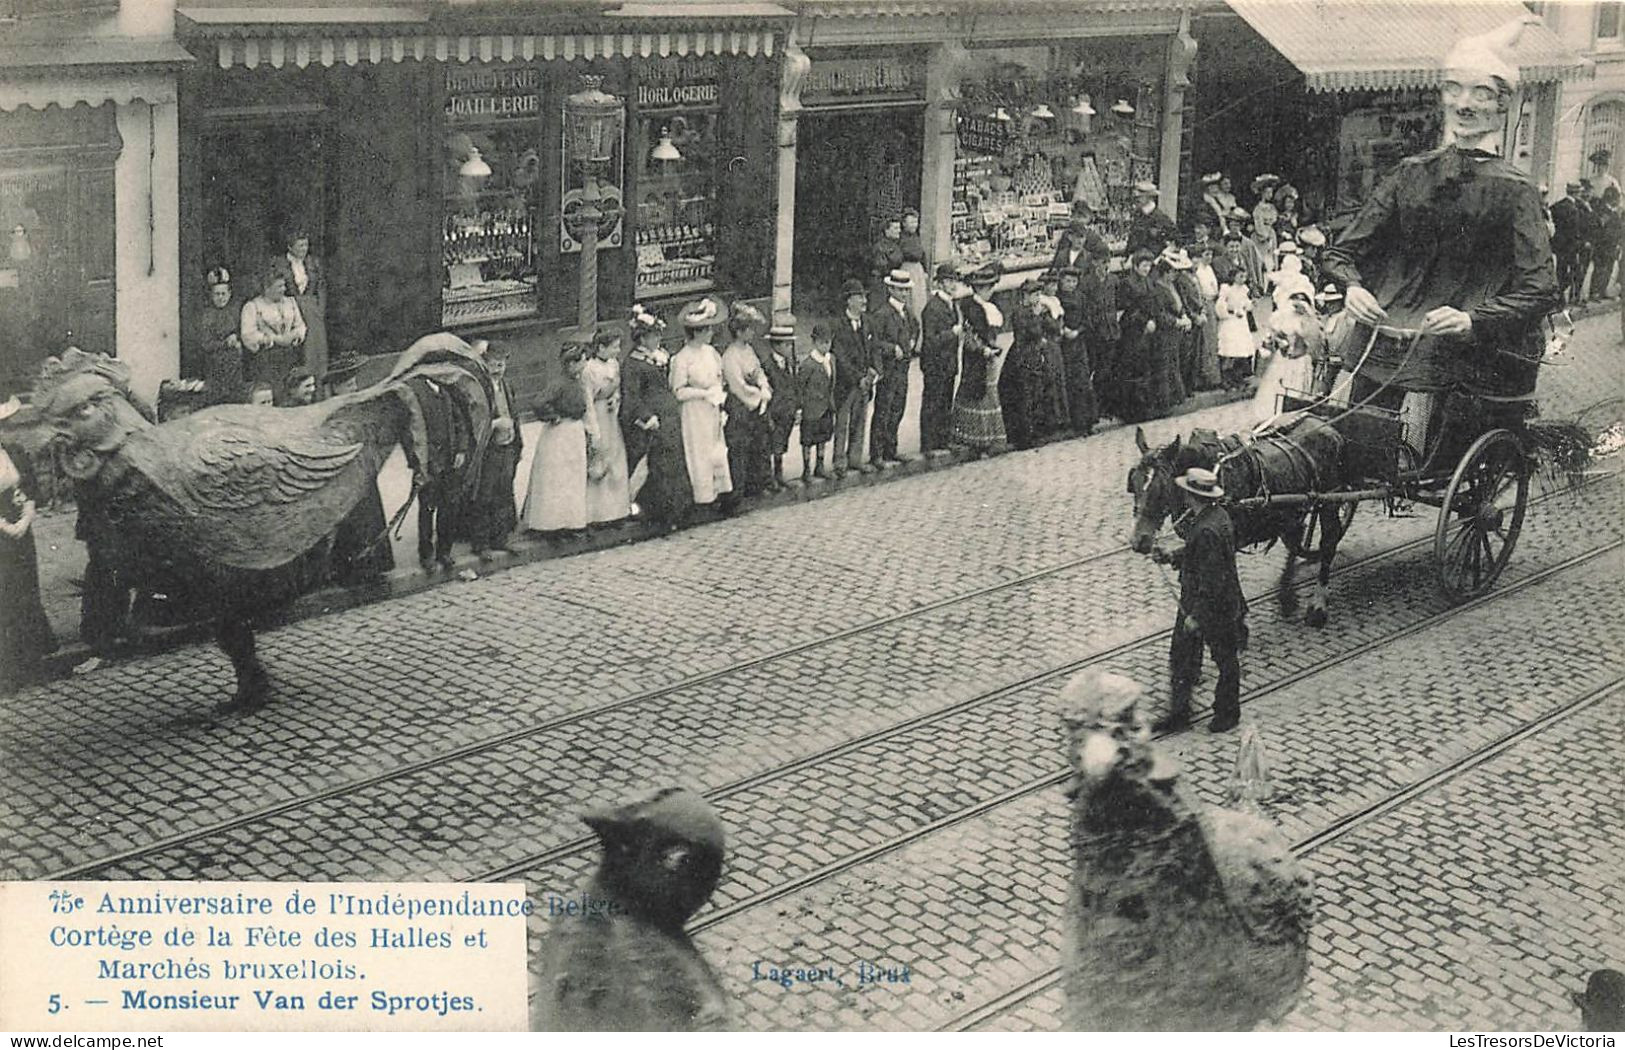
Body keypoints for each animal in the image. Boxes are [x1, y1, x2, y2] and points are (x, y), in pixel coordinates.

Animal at [1124, 419, 1352, 630]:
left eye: (1161, 487)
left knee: (1329, 540)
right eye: (1133, 482)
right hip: (1293, 506)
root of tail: (1329, 427)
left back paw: (1318, 605)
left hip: (1329, 499)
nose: (1138, 541)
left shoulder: (1228, 536)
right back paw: (1287, 595)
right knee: (1296, 537)